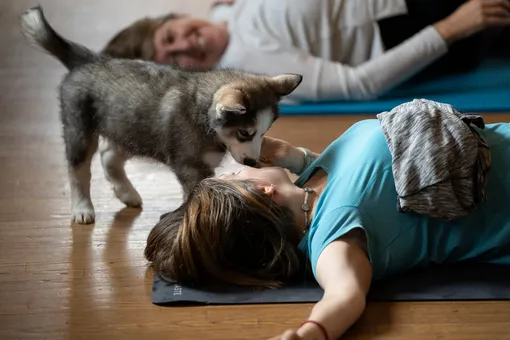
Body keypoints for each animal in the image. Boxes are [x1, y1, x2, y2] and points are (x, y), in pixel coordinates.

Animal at [20, 6, 302, 224]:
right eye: (244, 132)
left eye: (263, 133)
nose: (253, 162)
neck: (204, 118)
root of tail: (89, 60)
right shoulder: (191, 167)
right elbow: (194, 194)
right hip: (80, 127)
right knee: (78, 168)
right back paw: (82, 208)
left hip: (131, 127)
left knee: (109, 154)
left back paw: (127, 193)